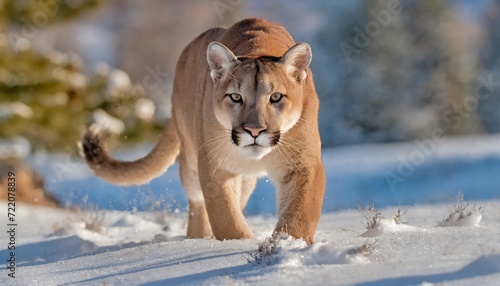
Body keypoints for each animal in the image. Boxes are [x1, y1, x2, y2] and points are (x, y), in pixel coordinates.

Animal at [80, 17, 326, 244]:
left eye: (275, 97)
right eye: (235, 97)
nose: (254, 131)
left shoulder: (303, 163)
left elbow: (299, 214)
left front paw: (285, 245)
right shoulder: (214, 164)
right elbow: (225, 217)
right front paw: (237, 244)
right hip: (190, 161)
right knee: (197, 202)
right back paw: (197, 239)